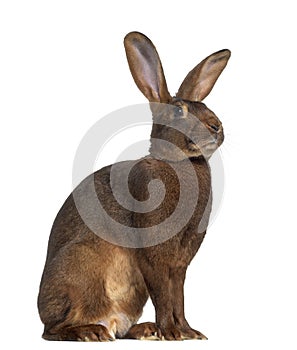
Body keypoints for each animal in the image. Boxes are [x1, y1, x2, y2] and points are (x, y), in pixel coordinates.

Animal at [37, 30, 231, 342]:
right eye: (178, 111)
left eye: (205, 108)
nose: (217, 126)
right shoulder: (152, 256)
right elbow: (164, 296)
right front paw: (171, 333)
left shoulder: (180, 266)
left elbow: (178, 297)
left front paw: (189, 332)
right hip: (79, 272)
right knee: (53, 330)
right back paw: (91, 332)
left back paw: (145, 330)